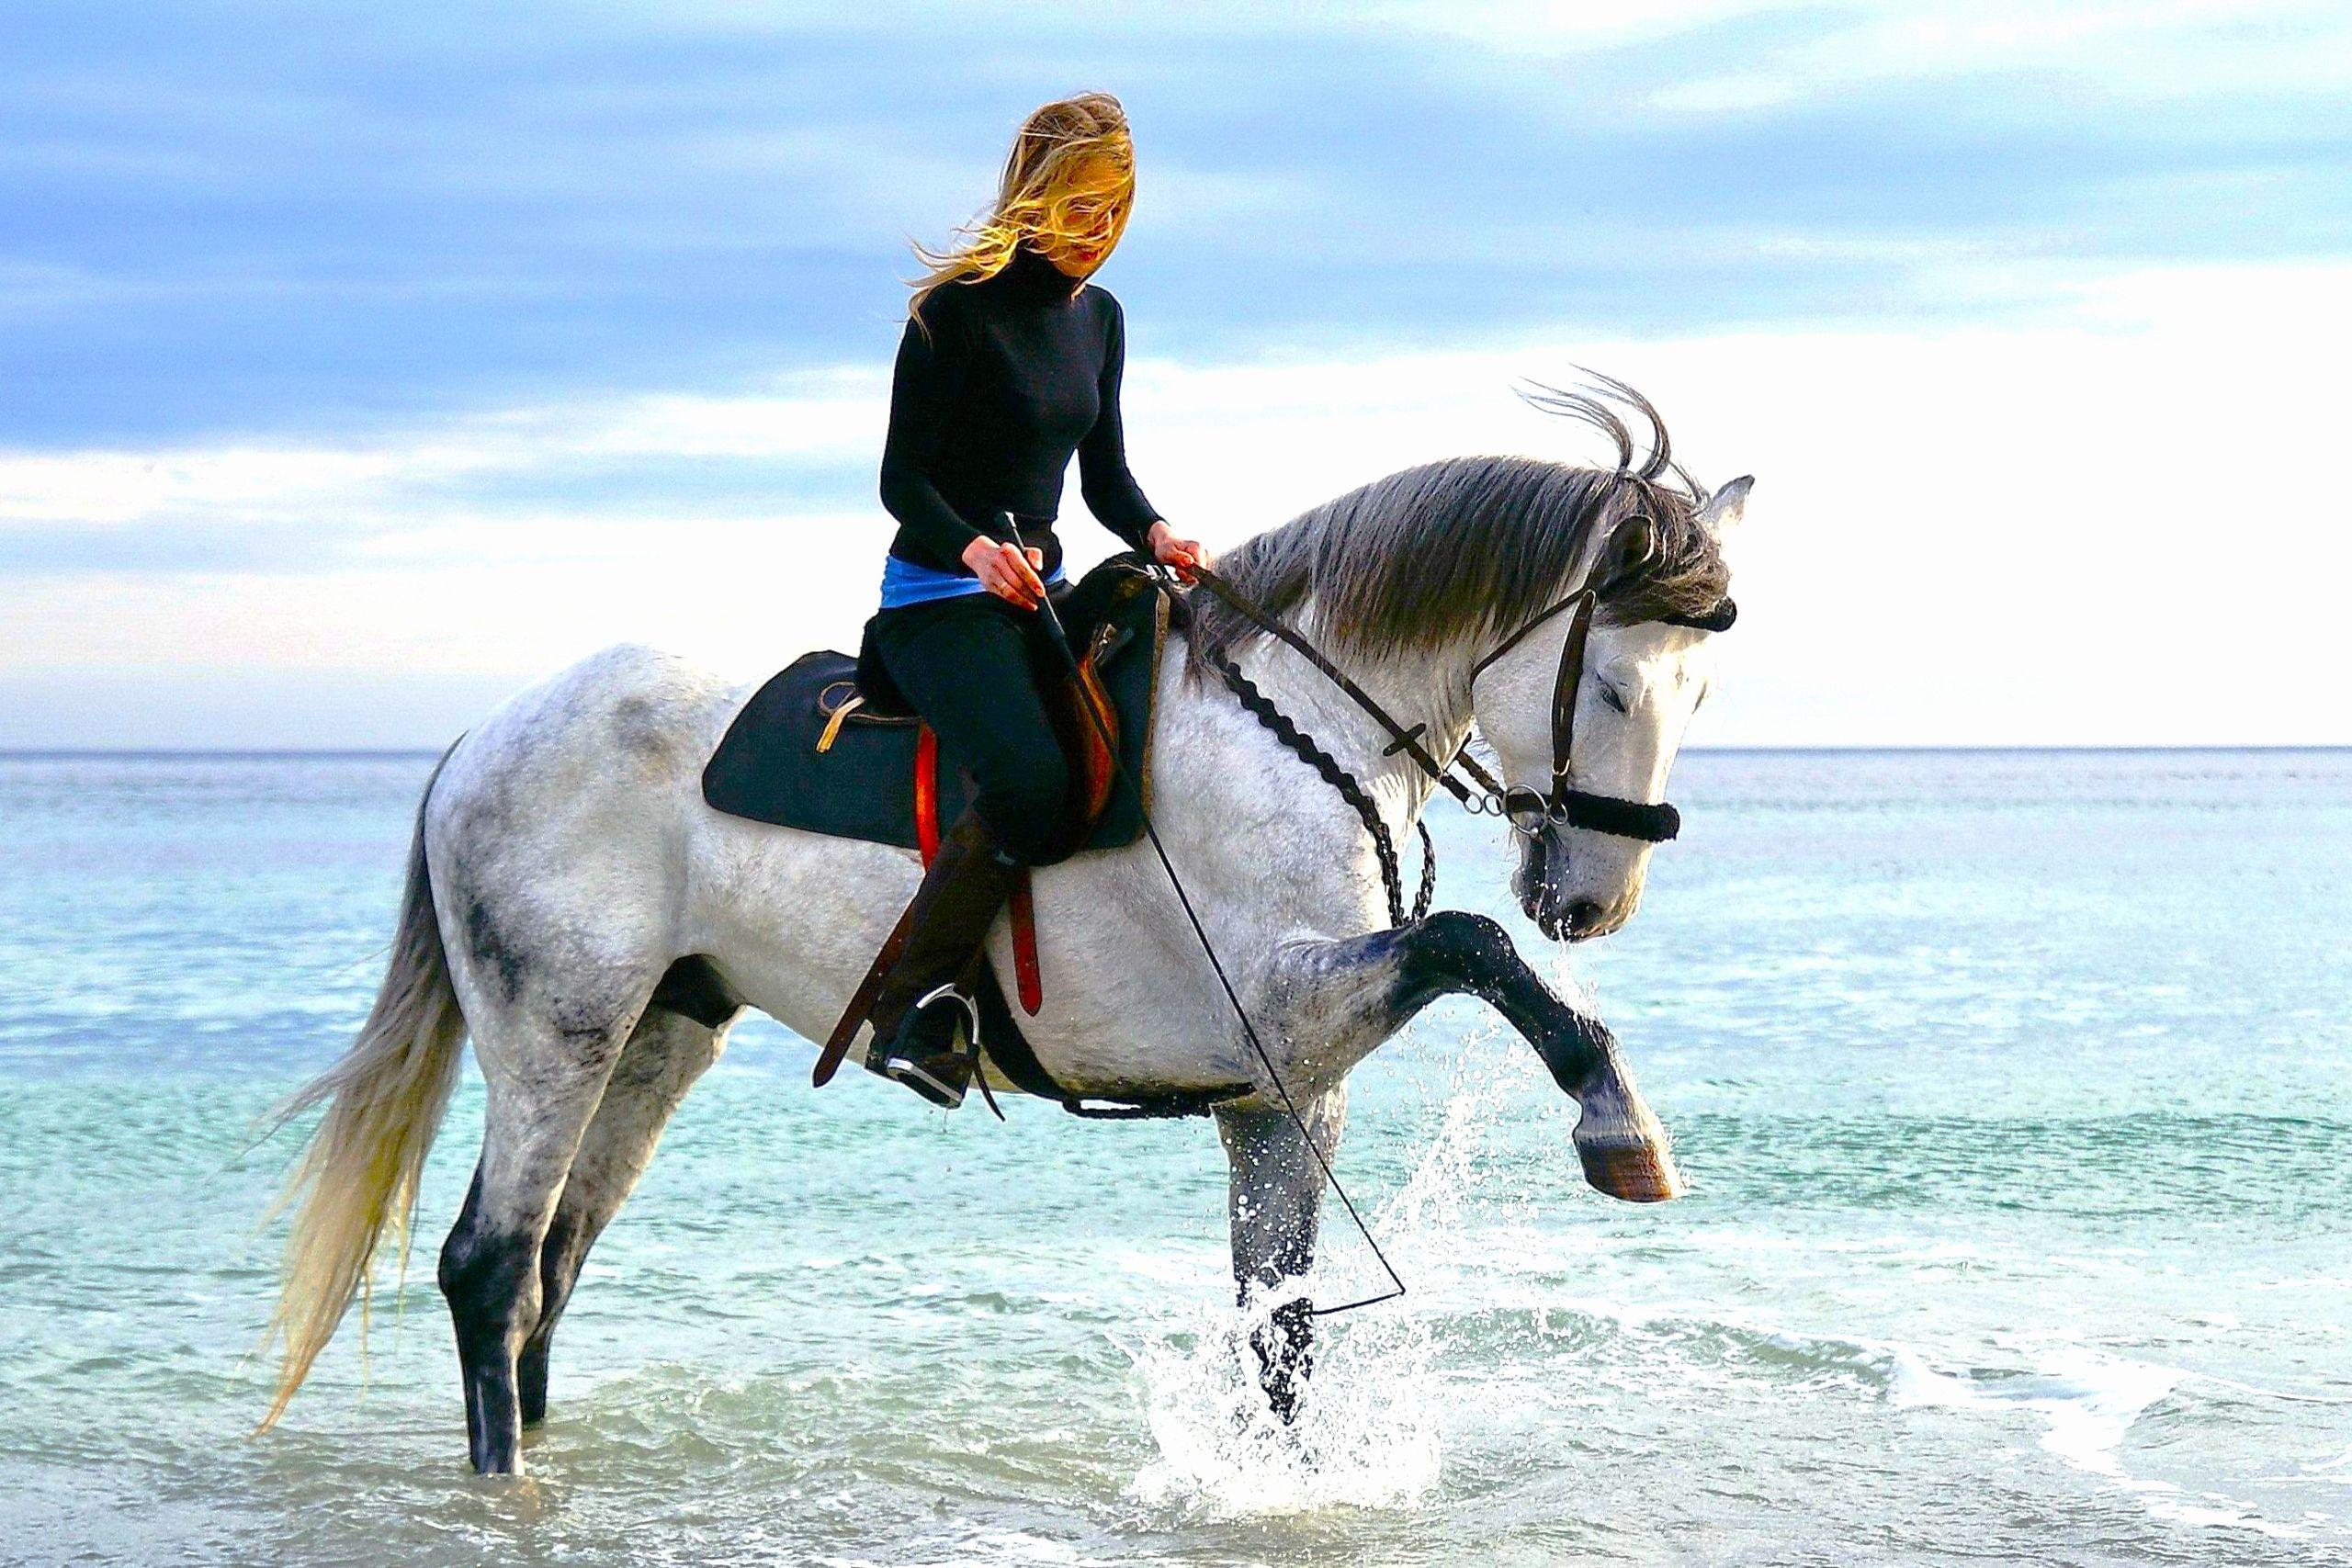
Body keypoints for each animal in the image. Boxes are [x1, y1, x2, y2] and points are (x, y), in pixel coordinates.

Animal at [256, 382, 1751, 1476]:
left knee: (555, 1261)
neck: (1293, 722)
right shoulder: (1287, 1001)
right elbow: (1472, 947)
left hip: (658, 1031)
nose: (1594, 898)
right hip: (556, 1025)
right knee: (492, 1267)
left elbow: (1279, 1332)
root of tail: (482, 735)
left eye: (1702, 689)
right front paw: (1616, 1116)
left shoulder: (1283, 1093)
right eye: (1616, 686)